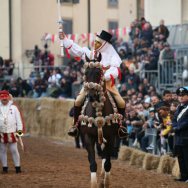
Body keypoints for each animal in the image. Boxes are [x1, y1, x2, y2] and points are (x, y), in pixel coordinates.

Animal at [78, 53, 125, 187]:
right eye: (86, 72)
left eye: (99, 73)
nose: (91, 96)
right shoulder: (88, 137)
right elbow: (93, 163)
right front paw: (94, 183)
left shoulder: (111, 137)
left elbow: (107, 163)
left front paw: (105, 182)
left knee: (105, 157)